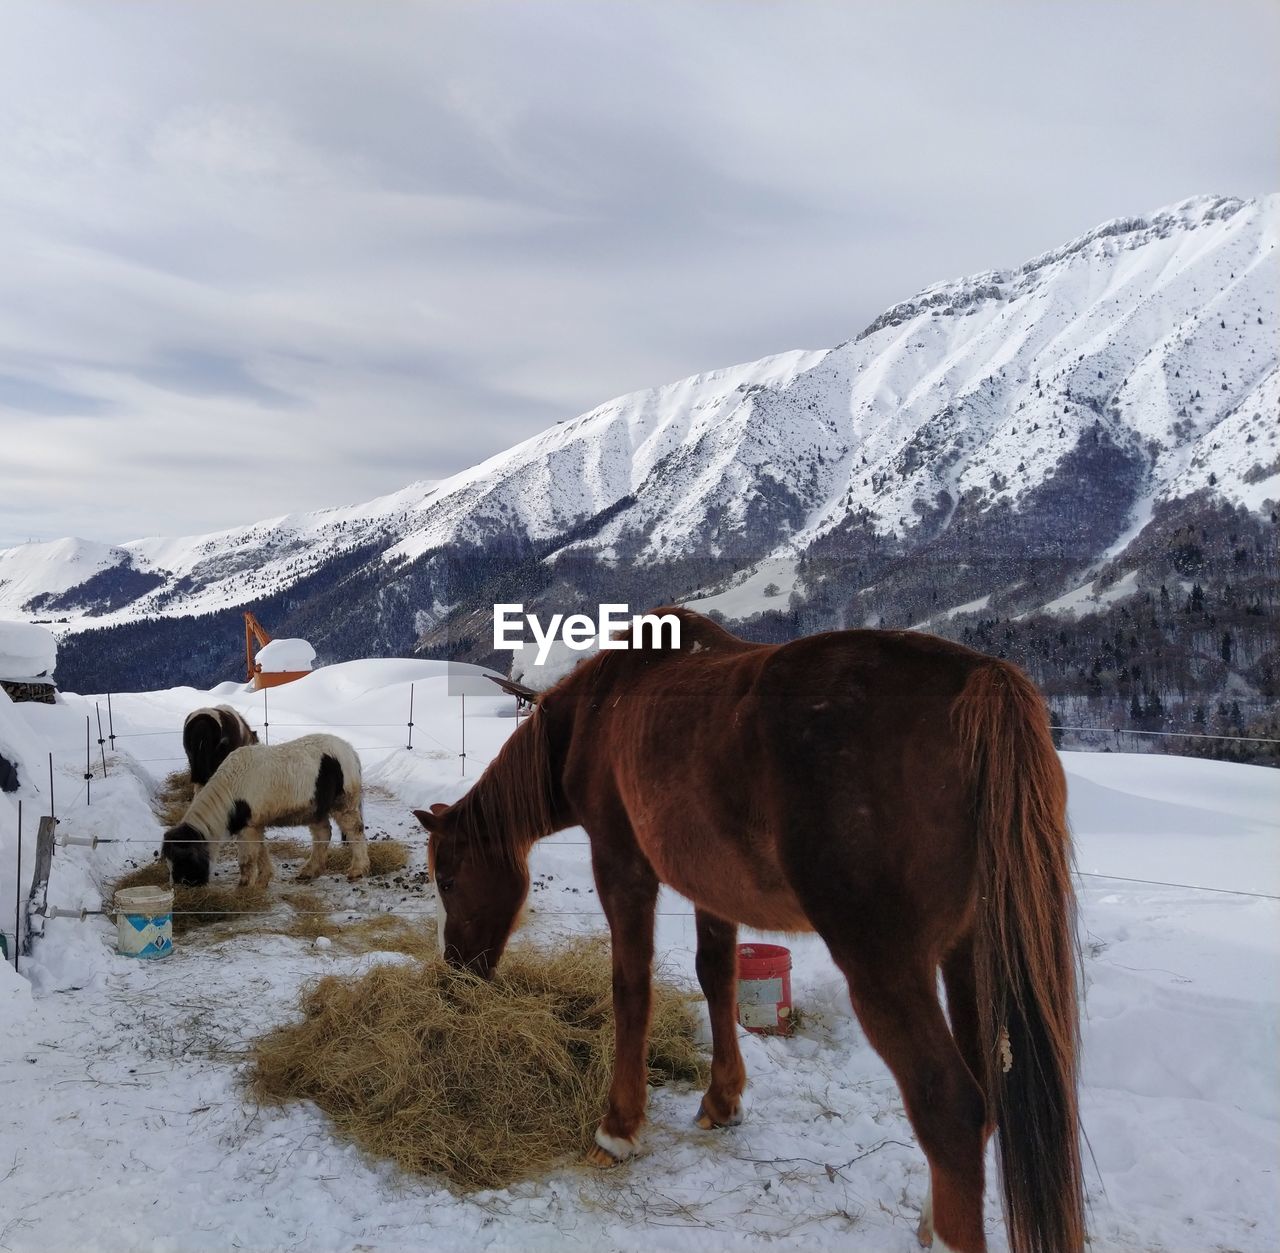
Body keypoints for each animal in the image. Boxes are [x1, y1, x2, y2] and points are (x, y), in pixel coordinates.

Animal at [162, 737, 368, 890]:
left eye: (183, 859)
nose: (179, 887)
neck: (231, 790)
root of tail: (350, 750)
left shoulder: (248, 827)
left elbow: (246, 859)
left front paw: (243, 887)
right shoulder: (254, 825)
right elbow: (260, 851)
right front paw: (262, 881)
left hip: (343, 803)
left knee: (354, 831)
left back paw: (357, 871)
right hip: (315, 809)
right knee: (322, 834)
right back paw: (308, 872)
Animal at [414, 609, 1085, 1253]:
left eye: (447, 878)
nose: (456, 970)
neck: (598, 711)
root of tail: (981, 680)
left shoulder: (622, 866)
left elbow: (631, 989)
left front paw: (618, 1130)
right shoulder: (711, 886)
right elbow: (718, 978)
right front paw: (723, 1100)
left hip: (886, 966)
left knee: (948, 1106)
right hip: (969, 954)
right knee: (984, 1091)